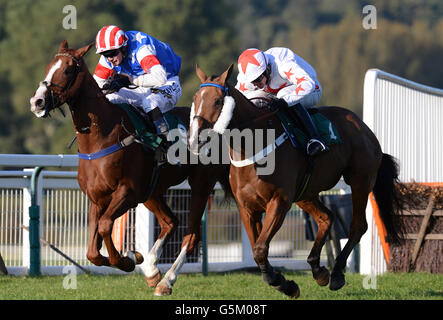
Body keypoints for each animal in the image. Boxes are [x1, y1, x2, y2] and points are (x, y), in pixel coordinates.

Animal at [29, 41, 231, 296]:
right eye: (48, 67)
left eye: (66, 70)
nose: (37, 102)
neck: (102, 136)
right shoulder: (97, 198)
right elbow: (92, 252)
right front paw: (135, 257)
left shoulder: (127, 192)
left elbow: (105, 226)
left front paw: (128, 259)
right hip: (152, 192)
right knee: (171, 222)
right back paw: (153, 271)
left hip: (200, 184)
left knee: (191, 234)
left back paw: (166, 281)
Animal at [191, 63, 406, 298]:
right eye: (195, 98)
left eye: (218, 101)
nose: (196, 138)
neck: (253, 146)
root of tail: (362, 125)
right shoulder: (247, 208)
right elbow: (258, 250)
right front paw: (283, 283)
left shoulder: (279, 201)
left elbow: (260, 249)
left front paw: (282, 283)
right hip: (306, 193)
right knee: (326, 218)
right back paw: (318, 269)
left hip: (361, 180)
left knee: (358, 226)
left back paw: (336, 273)